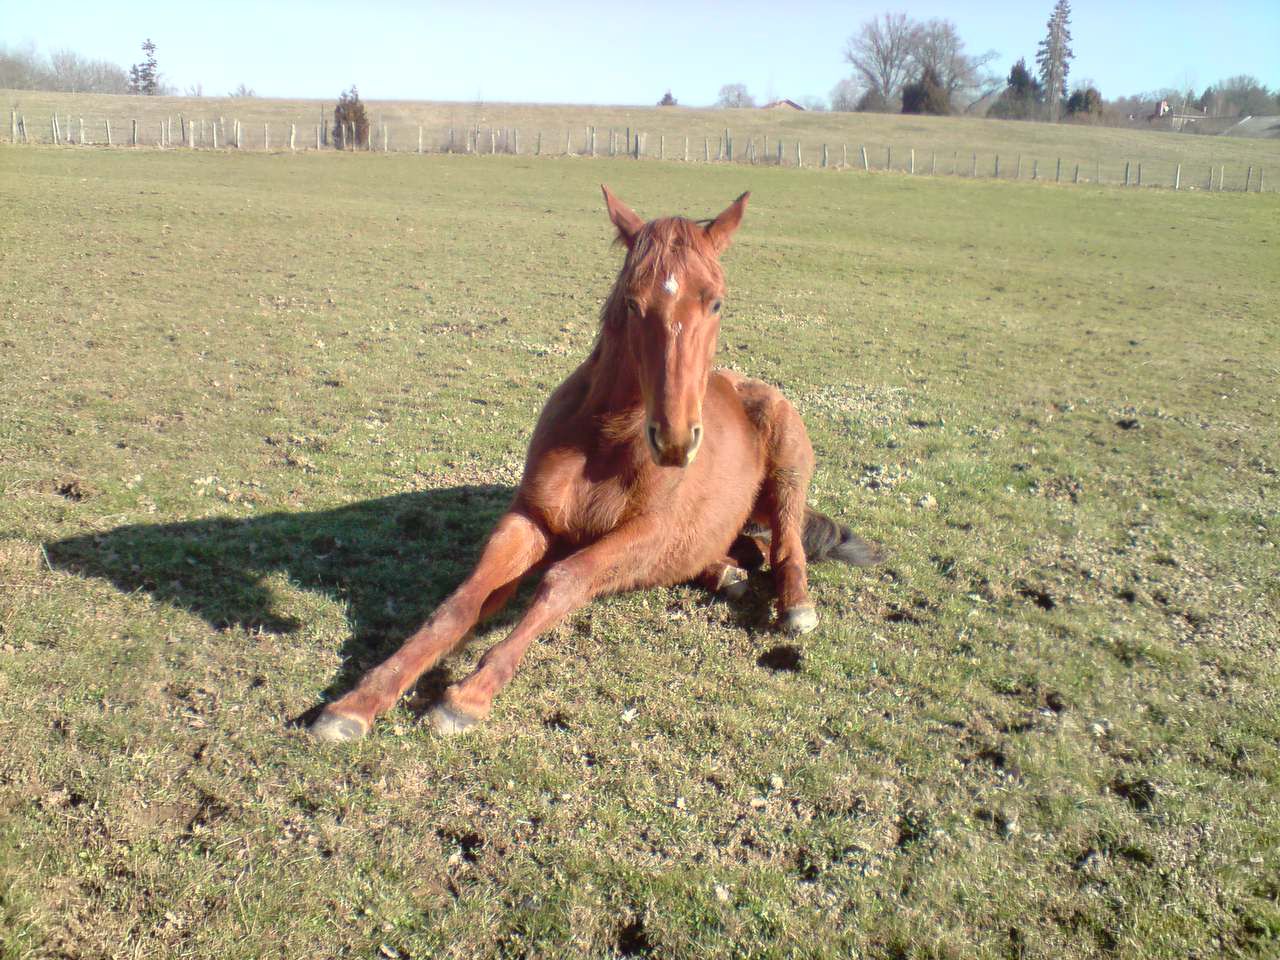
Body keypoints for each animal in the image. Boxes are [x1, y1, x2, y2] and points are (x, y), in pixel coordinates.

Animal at [309, 186, 880, 742]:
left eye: (715, 302)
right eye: (632, 301)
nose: (675, 440)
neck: (606, 440)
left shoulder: (649, 533)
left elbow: (562, 582)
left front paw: (467, 697)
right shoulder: (531, 520)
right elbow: (462, 601)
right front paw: (359, 700)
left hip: (788, 459)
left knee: (786, 543)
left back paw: (796, 605)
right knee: (747, 550)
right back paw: (724, 571)